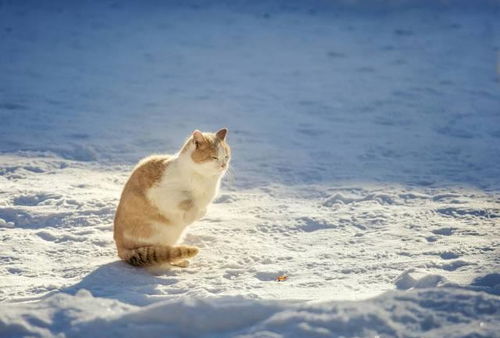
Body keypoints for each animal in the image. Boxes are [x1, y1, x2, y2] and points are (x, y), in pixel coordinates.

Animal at [113, 128, 230, 268]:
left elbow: (201, 208)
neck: (204, 179)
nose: (223, 165)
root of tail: (120, 249)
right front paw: (191, 214)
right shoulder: (162, 194)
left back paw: (181, 261)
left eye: (226, 156)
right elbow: (189, 203)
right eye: (214, 157)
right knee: (164, 253)